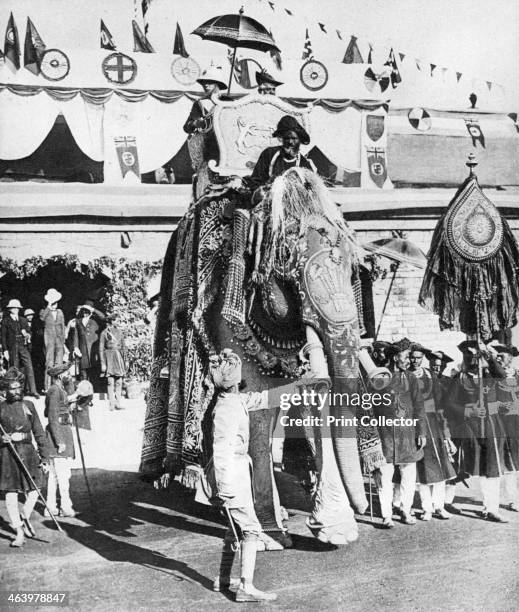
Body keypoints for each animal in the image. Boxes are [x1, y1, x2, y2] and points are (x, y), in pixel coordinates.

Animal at [140, 166, 388, 544]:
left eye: (353, 269)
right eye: (285, 259)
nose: (367, 512)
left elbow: (306, 395)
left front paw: (334, 533)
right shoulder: (227, 321)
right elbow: (258, 408)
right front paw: (271, 532)